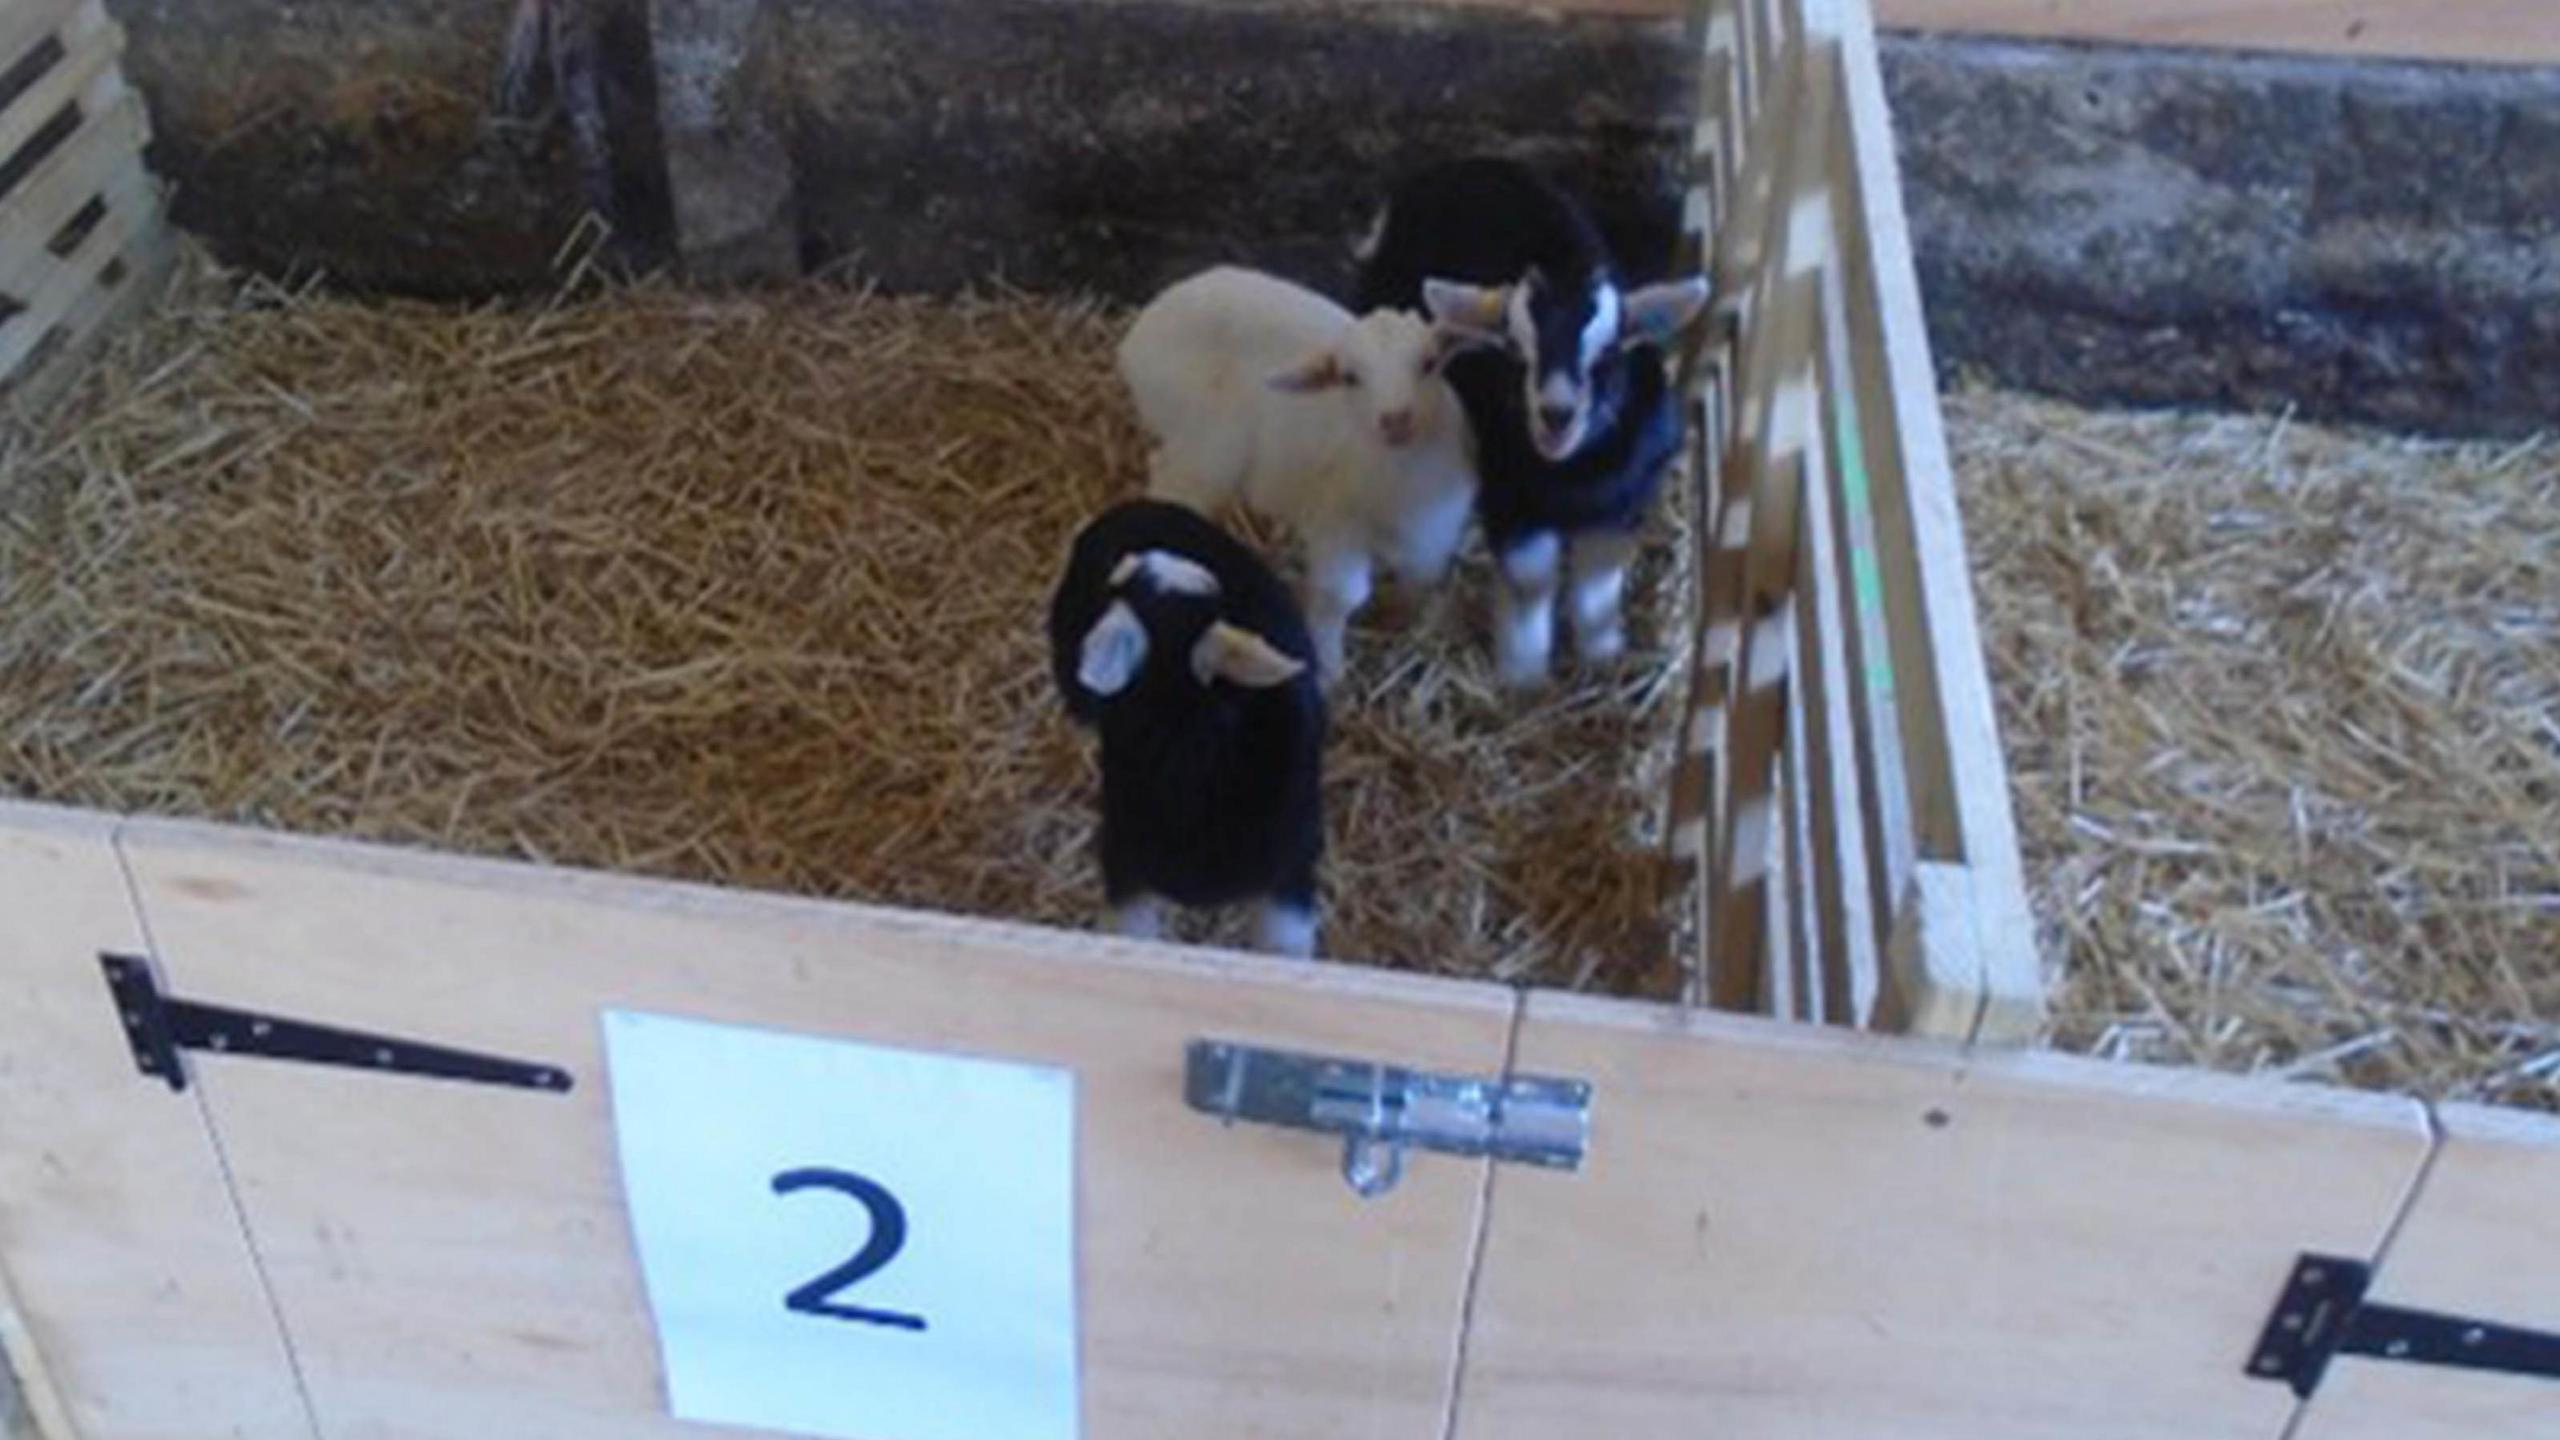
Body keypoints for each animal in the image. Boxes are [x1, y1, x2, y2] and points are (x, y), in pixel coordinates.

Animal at [1118, 265, 1489, 682]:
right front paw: (1329, 668)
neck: (1400, 481)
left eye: (1429, 362)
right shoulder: (1337, 525)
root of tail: (1145, 322)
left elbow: (1420, 581)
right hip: (1205, 447)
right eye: (1349, 377)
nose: (1396, 419)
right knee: (1173, 485)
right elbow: (1340, 595)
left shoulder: (1433, 534)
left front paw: (1395, 618)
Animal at [1354, 156, 1711, 687]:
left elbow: (1598, 583)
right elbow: (1530, 583)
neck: (1574, 480)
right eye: (1516, 352)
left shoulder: (1623, 504)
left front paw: (1601, 657)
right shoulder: (1511, 499)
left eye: (1607, 355)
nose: (1556, 414)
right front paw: (1524, 676)